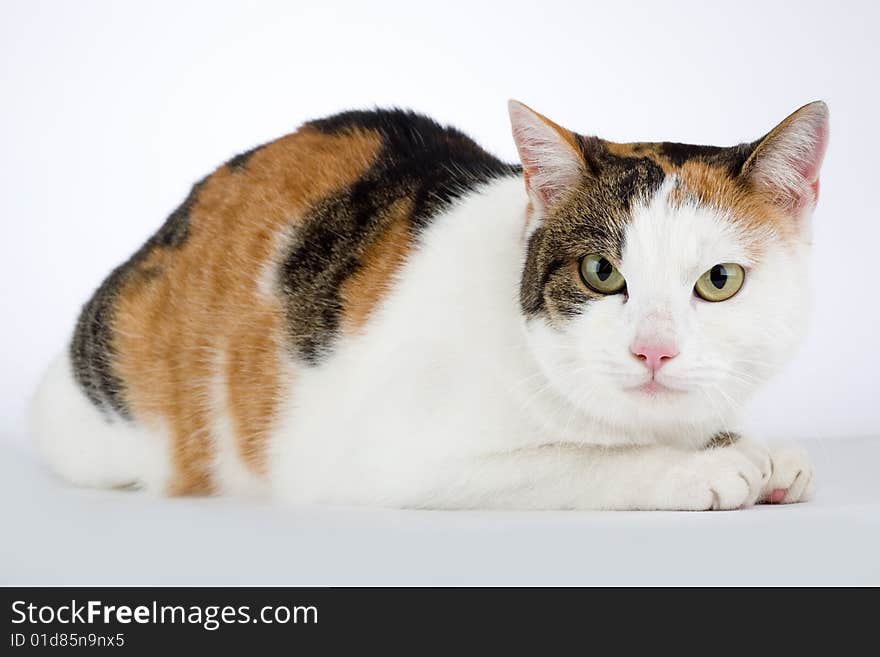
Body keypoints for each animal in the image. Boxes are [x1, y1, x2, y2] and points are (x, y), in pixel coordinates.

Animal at [29, 98, 824, 508]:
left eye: (718, 281)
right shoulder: (387, 459)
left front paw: (751, 446)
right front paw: (697, 467)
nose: (653, 349)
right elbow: (579, 461)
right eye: (602, 272)